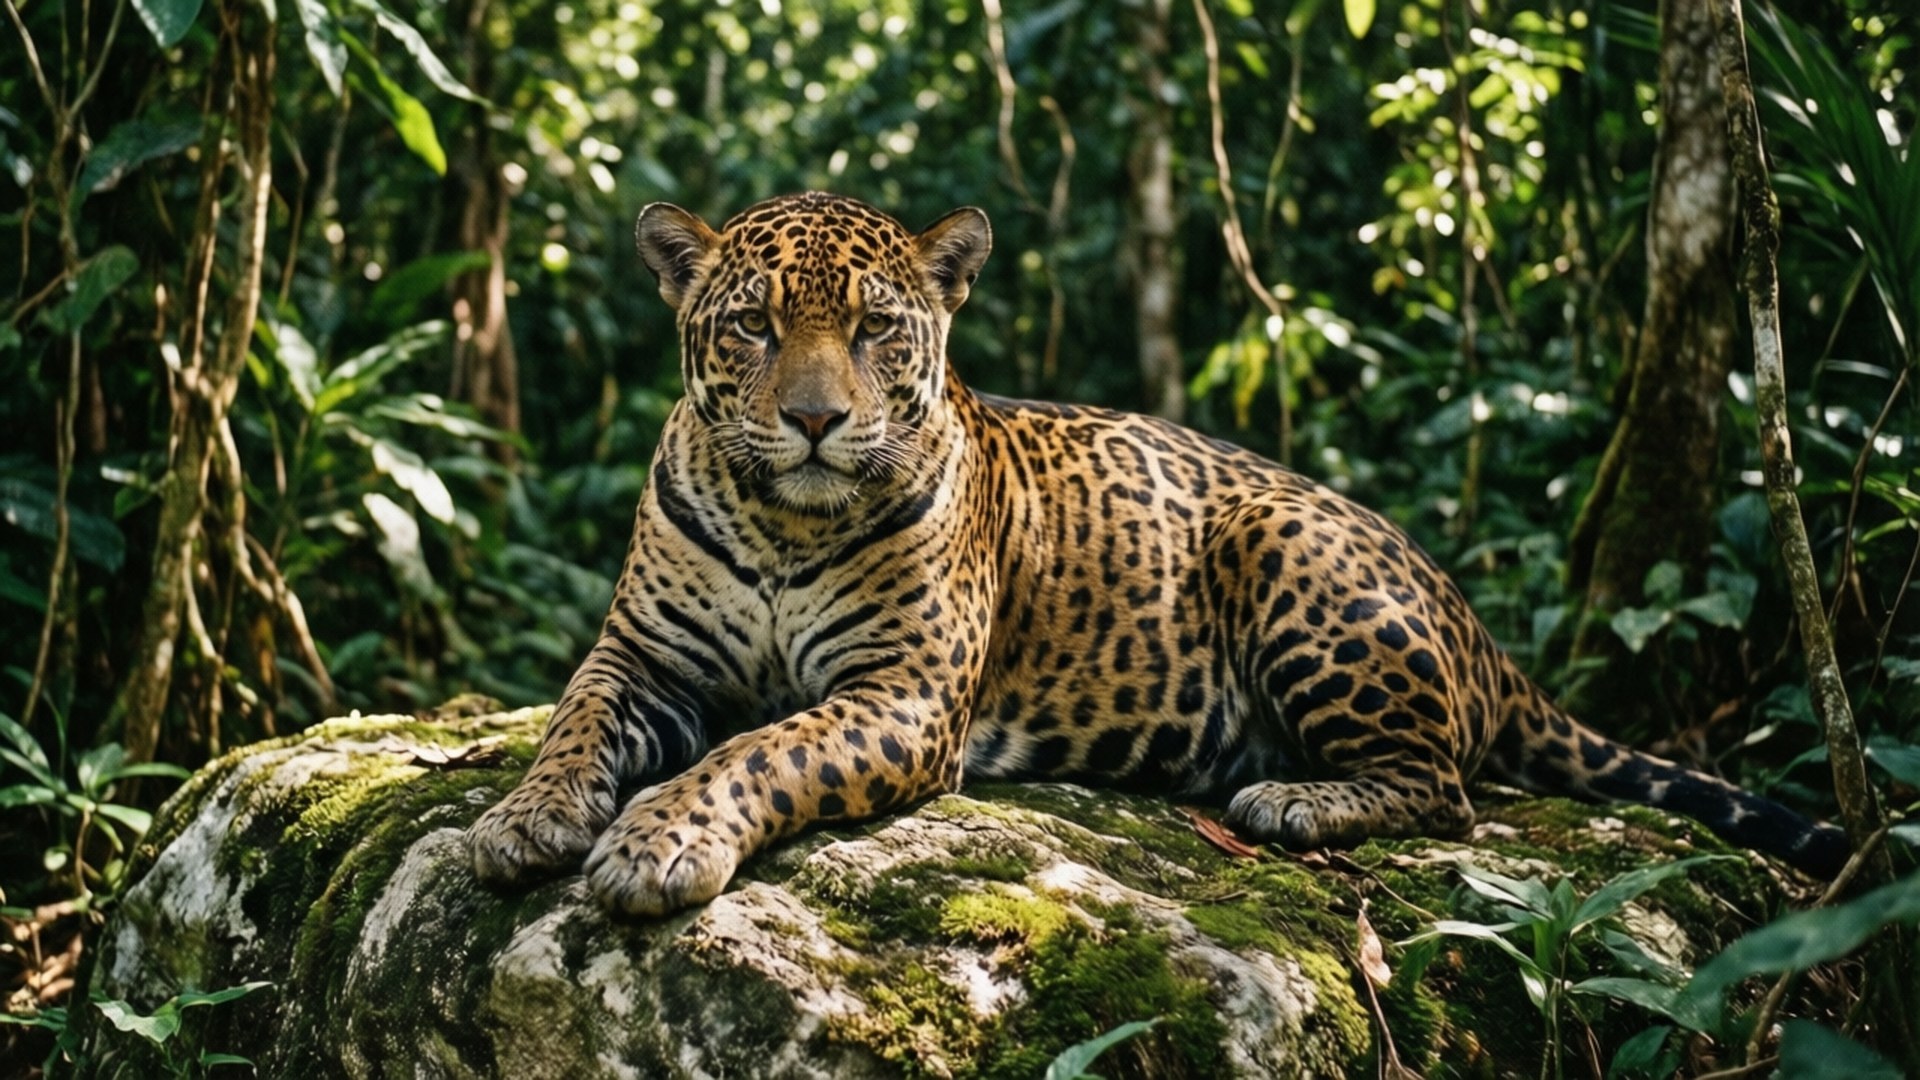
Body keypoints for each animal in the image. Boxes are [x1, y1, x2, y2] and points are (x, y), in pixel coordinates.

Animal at [466, 191, 1846, 916]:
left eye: (875, 331)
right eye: (752, 326)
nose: (814, 420)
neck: (780, 516)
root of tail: (1474, 621)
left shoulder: (902, 695)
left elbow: (762, 748)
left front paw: (657, 838)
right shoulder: (644, 658)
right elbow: (572, 726)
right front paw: (519, 822)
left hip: (1290, 550)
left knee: (1448, 787)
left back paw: (1293, 797)